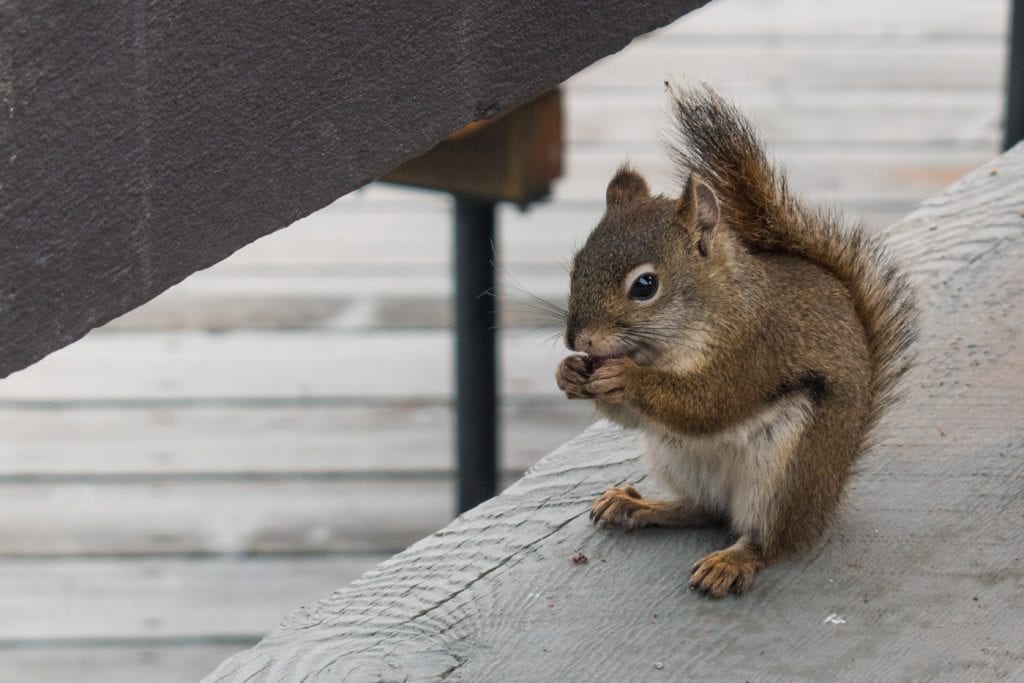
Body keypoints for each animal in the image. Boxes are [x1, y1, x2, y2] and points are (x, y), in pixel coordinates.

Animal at [561, 83, 921, 598]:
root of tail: (827, 497)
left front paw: (626, 377)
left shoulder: (755, 348)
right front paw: (568, 373)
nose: (579, 339)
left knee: (769, 540)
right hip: (675, 458)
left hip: (786, 475)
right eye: (576, 266)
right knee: (705, 510)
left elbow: (710, 402)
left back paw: (734, 560)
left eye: (645, 285)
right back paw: (639, 505)